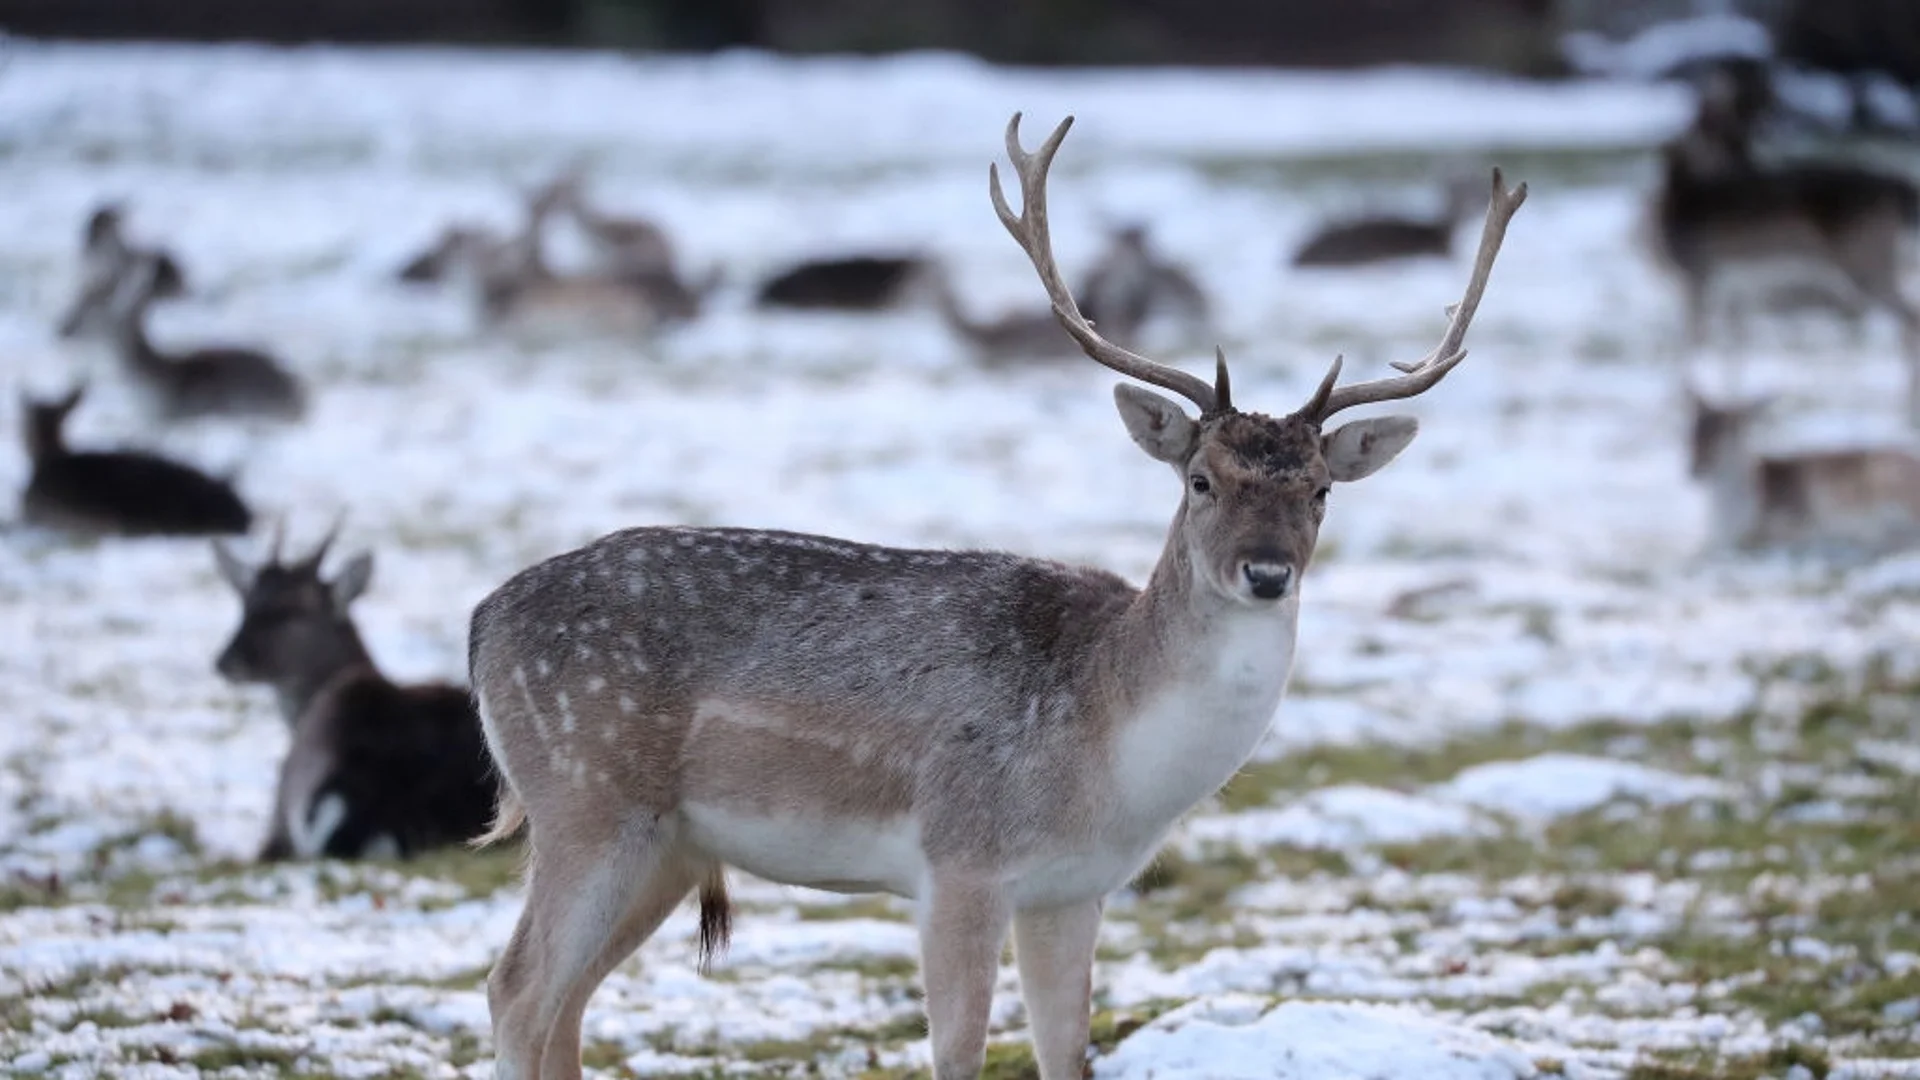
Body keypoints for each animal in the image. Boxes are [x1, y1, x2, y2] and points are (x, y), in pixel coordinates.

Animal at [468, 111, 1528, 1076]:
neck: (1112, 757)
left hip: (664, 845)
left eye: (1319, 491)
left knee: (566, 1006)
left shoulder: (1073, 890)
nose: (1266, 572)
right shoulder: (960, 860)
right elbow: (960, 1052)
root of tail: (480, 623)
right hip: (587, 796)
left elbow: (1068, 1053)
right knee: (517, 991)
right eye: (1201, 480)